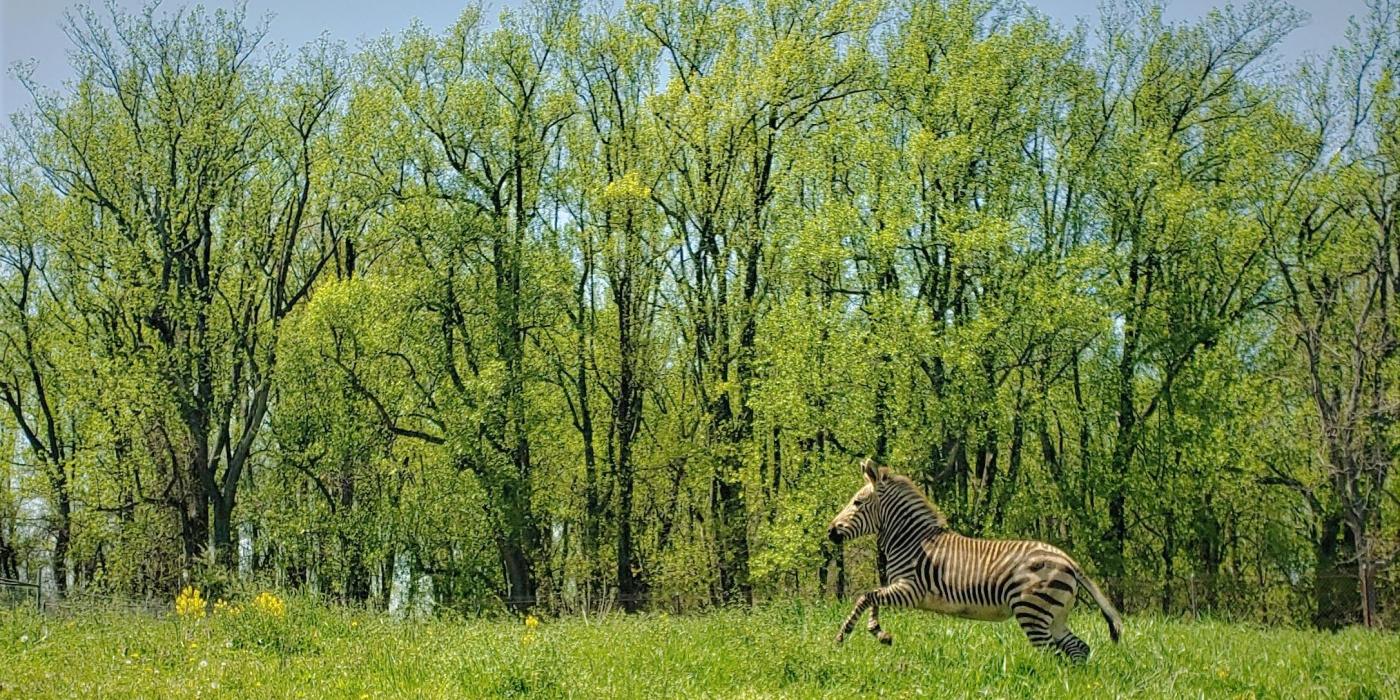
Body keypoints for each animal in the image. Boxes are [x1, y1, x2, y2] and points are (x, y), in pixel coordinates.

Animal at [823, 456, 1120, 658]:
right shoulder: (899, 587)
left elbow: (866, 596)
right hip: (1054, 615)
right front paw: (880, 633)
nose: (830, 531)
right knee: (1078, 648)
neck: (913, 540)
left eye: (857, 503)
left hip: (1032, 611)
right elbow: (873, 598)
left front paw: (842, 637)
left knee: (1052, 652)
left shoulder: (911, 589)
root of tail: (1069, 561)